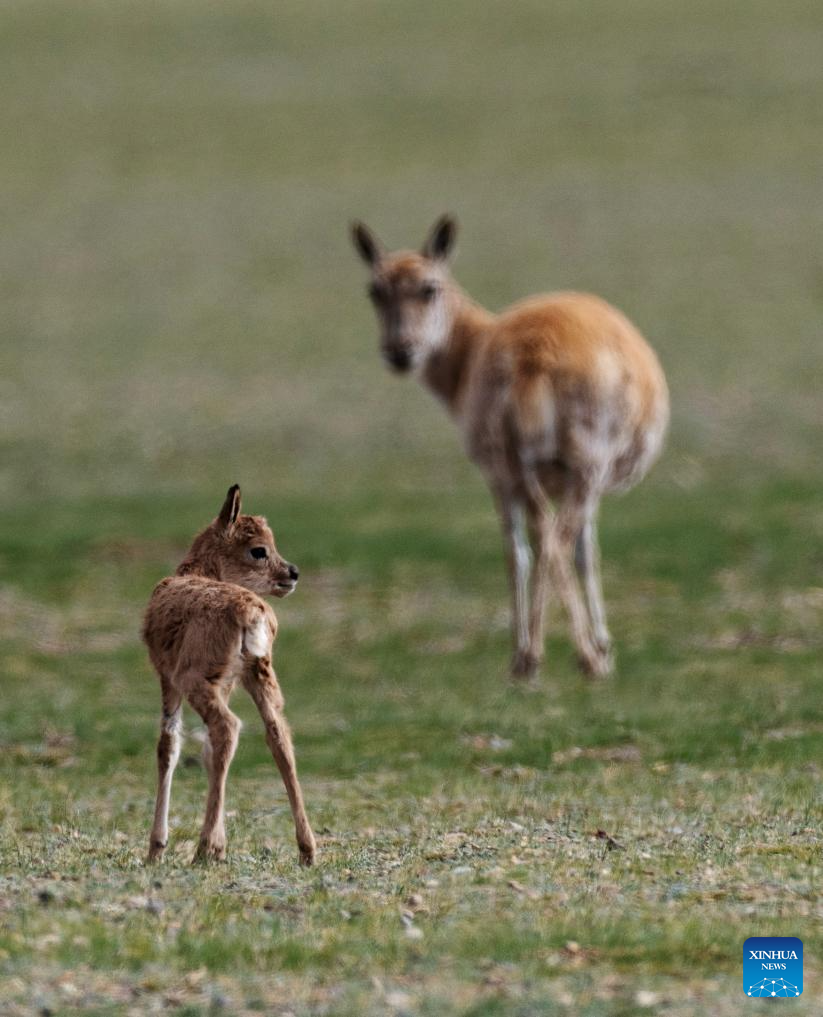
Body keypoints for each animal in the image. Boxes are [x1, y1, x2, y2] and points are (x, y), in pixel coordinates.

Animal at [141, 484, 315, 866]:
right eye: (259, 549)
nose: (292, 573)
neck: (197, 570)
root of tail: (252, 611)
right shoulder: (230, 684)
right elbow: (206, 752)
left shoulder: (167, 678)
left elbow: (168, 745)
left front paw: (156, 849)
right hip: (260, 675)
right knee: (278, 735)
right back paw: (307, 849)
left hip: (196, 680)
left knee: (228, 727)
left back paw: (204, 848)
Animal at [351, 213, 667, 679]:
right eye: (376, 290)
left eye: (428, 287)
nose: (399, 352)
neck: (472, 346)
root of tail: (537, 352)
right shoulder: (532, 480)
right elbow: (576, 552)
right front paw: (600, 647)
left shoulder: (507, 477)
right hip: (567, 469)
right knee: (549, 542)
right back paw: (567, 657)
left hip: (529, 471)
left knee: (540, 541)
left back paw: (545, 655)